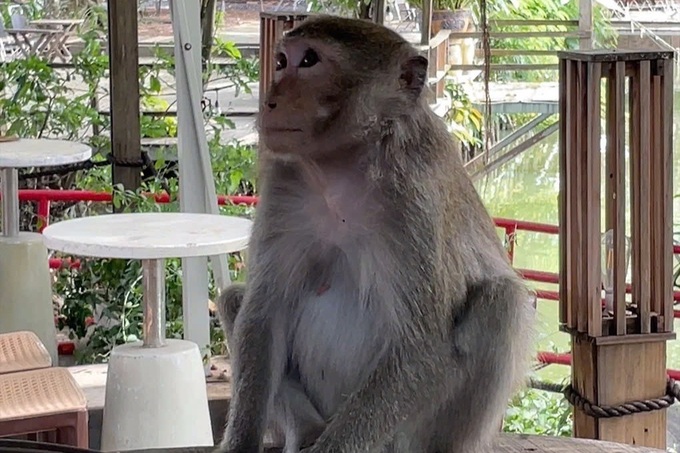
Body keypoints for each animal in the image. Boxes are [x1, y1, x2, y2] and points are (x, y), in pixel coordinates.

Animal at [216, 15, 535, 453]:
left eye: (310, 60)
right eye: (281, 62)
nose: (270, 101)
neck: (343, 167)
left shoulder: (414, 199)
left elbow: (422, 346)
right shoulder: (284, 186)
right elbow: (263, 314)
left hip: (407, 432)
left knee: (500, 302)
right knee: (236, 300)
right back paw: (307, 431)